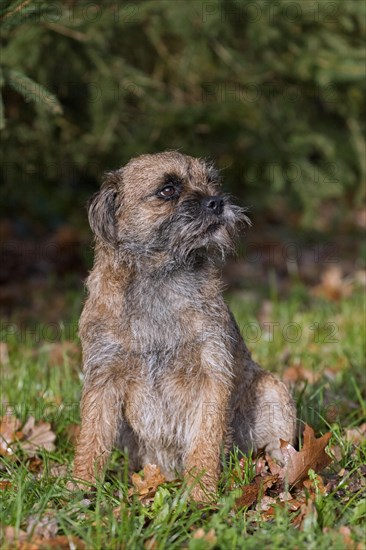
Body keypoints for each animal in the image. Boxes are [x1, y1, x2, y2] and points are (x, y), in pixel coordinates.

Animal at [73, 152, 296, 504]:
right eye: (168, 189)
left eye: (212, 182)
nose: (217, 202)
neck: (160, 278)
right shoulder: (103, 379)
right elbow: (91, 438)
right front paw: (77, 490)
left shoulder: (211, 372)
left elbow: (206, 439)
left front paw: (200, 495)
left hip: (273, 391)